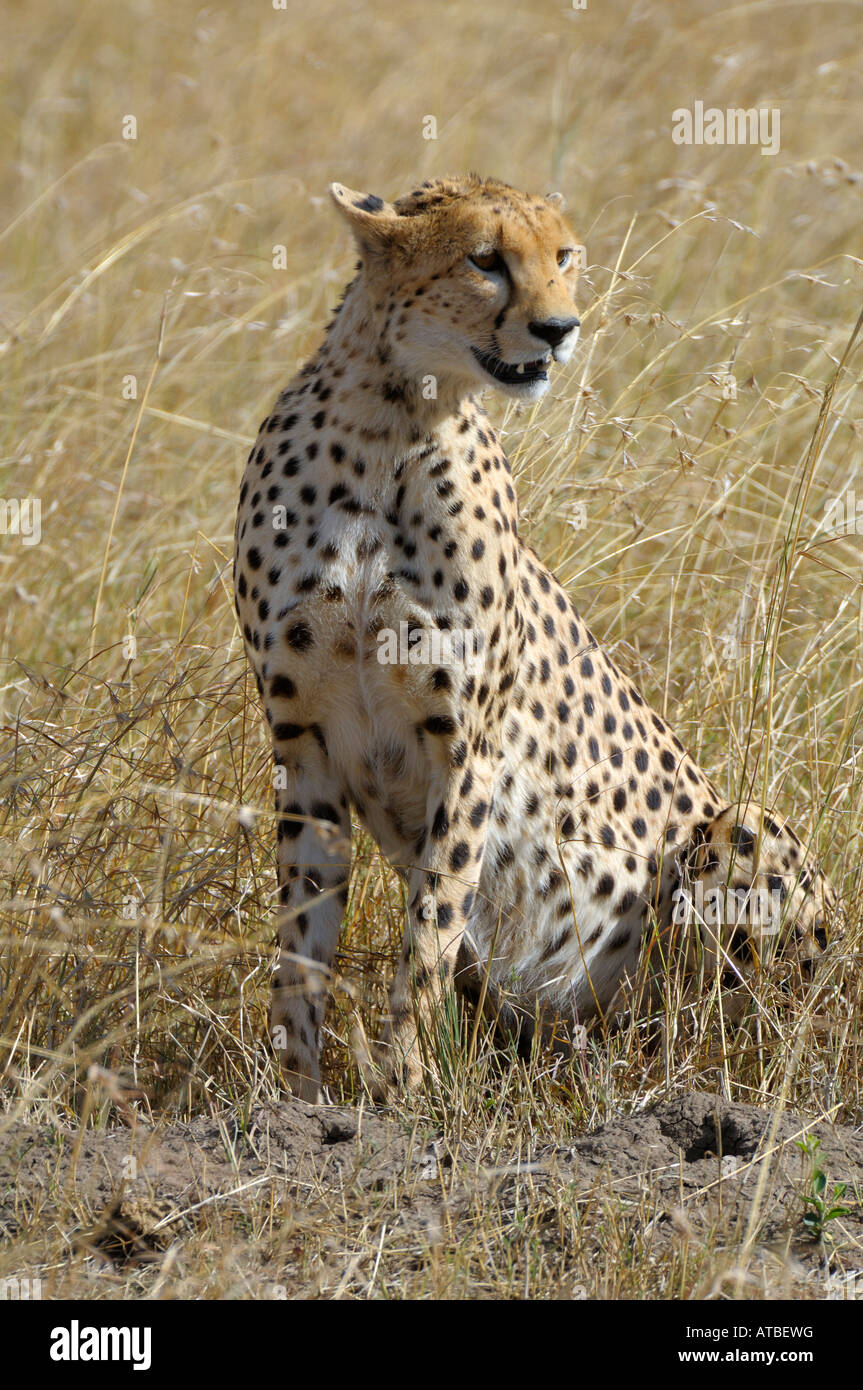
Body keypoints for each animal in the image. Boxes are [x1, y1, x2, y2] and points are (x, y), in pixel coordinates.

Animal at [232, 173, 839, 1100]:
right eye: (484, 260)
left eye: (564, 256)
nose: (560, 328)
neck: (389, 422)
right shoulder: (304, 745)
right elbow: (300, 940)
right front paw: (295, 1098)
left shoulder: (466, 749)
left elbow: (429, 930)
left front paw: (402, 1089)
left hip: (739, 836)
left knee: (737, 1023)